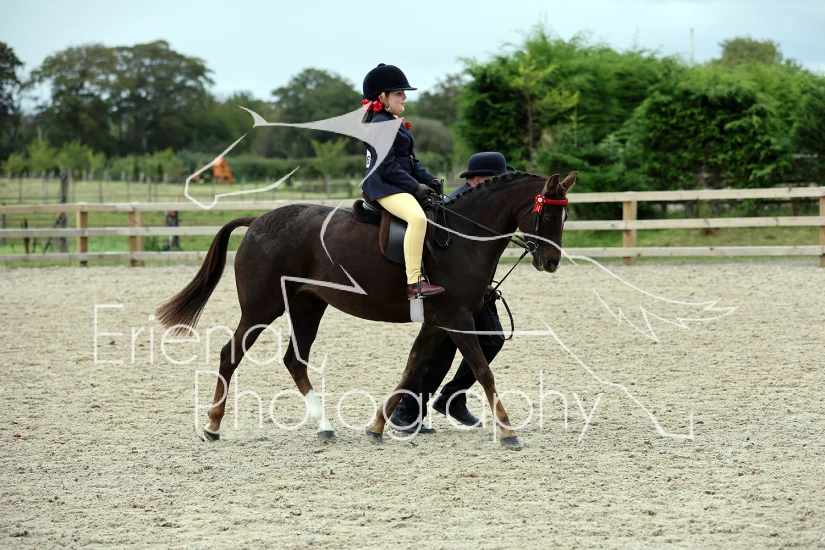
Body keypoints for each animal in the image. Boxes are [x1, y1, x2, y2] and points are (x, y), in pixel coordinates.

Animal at [156, 170, 578, 449]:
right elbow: (483, 371)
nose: (552, 262)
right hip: (262, 307)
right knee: (230, 354)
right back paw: (212, 426)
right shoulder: (456, 318)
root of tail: (258, 220)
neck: (462, 237)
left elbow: (412, 368)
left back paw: (325, 426)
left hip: (308, 306)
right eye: (547, 214)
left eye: (566, 215)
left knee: (294, 361)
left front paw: (378, 426)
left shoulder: (437, 322)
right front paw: (508, 430)